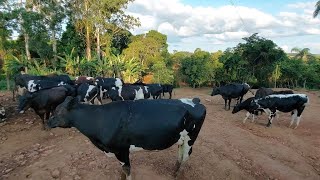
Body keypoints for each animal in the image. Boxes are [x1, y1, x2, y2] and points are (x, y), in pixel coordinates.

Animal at [47, 96, 208, 179]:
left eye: (58, 111)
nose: (48, 122)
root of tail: (195, 101)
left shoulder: (121, 150)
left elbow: (127, 170)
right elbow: (122, 170)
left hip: (191, 138)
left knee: (186, 156)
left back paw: (177, 175)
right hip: (181, 139)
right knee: (180, 155)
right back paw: (174, 171)